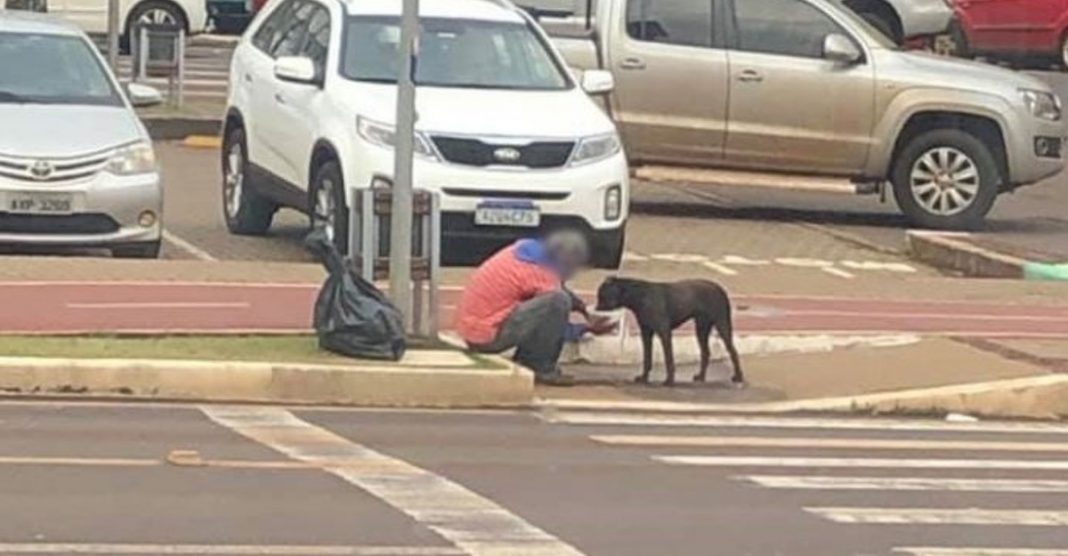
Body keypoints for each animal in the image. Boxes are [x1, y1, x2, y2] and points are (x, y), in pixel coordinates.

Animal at [598, 275, 747, 386]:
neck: (640, 295)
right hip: (701, 328)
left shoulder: (664, 333)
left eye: (602, 295)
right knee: (706, 352)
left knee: (733, 351)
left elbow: (668, 359)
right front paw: (644, 377)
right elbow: (647, 358)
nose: (596, 307)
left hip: (722, 325)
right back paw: (701, 376)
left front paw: (669, 380)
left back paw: (738, 377)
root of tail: (720, 289)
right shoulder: (646, 333)